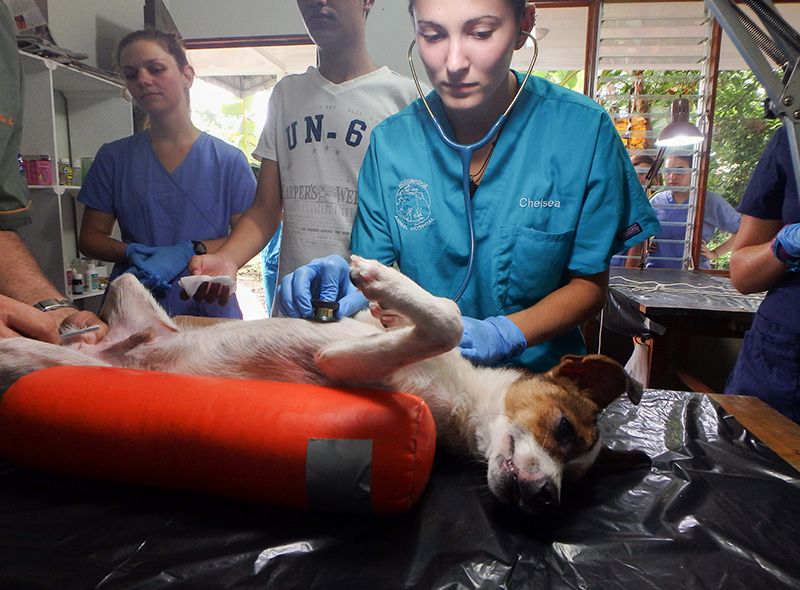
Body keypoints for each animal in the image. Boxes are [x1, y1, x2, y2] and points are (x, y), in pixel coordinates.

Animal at [0, 256, 640, 516]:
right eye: (563, 427)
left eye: (577, 485)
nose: (547, 500)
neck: (461, 407)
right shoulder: (366, 340)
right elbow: (443, 315)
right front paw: (383, 285)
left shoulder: (340, 364)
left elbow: (448, 320)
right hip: (127, 289)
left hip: (61, 359)